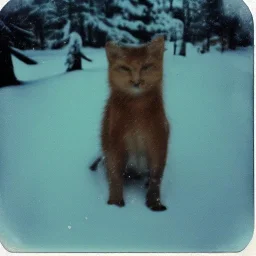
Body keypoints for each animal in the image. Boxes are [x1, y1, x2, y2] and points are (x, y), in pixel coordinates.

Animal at [100, 36, 170, 211]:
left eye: (146, 66)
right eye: (124, 68)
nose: (136, 82)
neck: (137, 110)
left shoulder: (159, 142)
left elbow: (156, 177)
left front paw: (154, 203)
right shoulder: (114, 143)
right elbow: (115, 176)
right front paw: (114, 203)